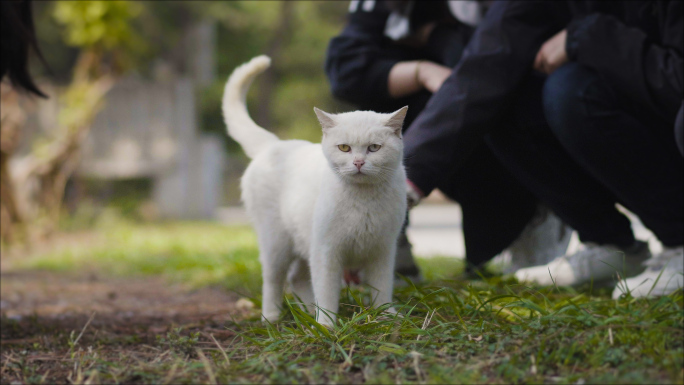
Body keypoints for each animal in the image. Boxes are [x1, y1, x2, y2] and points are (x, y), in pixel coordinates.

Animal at [222, 55, 408, 326]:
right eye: (344, 148)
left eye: (374, 148)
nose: (358, 162)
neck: (364, 199)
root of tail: (274, 145)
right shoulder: (326, 251)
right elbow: (327, 290)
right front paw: (327, 326)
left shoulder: (382, 250)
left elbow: (382, 288)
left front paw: (385, 316)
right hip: (276, 244)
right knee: (274, 280)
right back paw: (272, 317)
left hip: (303, 245)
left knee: (296, 278)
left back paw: (309, 312)